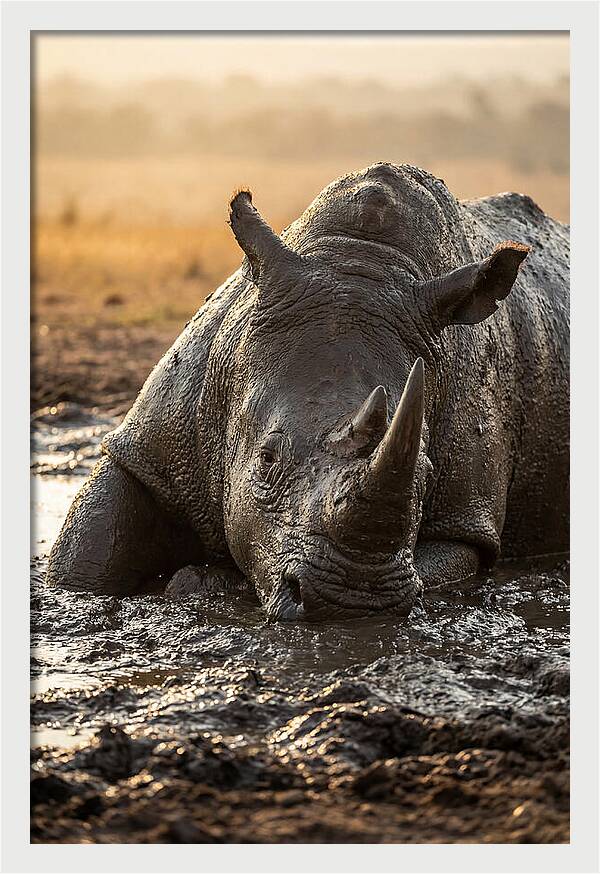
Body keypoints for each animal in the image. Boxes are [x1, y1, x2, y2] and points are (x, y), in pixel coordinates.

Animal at [47, 163, 569, 620]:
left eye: (425, 472)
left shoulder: (466, 519)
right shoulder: (149, 446)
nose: (352, 600)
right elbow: (85, 556)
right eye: (266, 459)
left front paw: (201, 582)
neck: (361, 261)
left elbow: (446, 561)